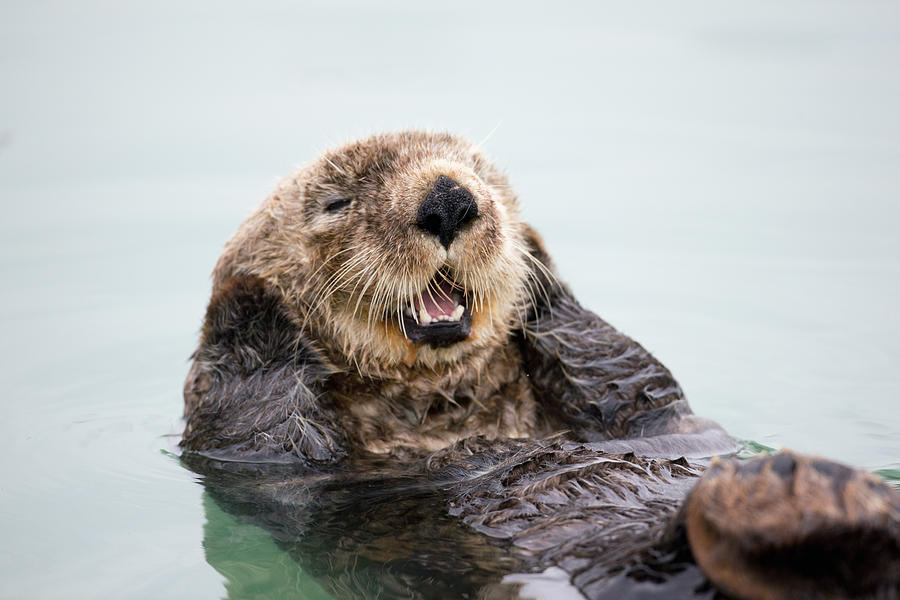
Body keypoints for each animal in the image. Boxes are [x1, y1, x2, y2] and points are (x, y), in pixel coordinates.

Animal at [183, 131, 900, 600]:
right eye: (336, 203)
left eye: (483, 176)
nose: (450, 198)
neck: (444, 407)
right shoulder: (258, 463)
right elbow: (257, 417)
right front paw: (248, 300)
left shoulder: (640, 407)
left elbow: (627, 376)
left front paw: (537, 268)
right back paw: (793, 497)